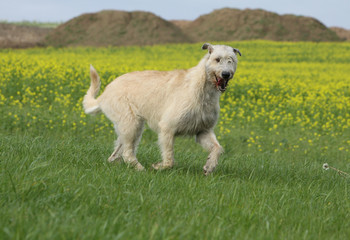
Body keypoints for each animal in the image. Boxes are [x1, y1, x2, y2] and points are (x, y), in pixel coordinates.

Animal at [83, 43, 241, 174]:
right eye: (217, 59)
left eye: (231, 60)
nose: (226, 74)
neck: (203, 89)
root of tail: (104, 94)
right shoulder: (167, 128)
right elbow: (170, 160)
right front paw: (158, 167)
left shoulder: (203, 130)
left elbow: (217, 148)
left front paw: (209, 166)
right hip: (130, 123)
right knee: (127, 153)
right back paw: (141, 169)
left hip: (131, 127)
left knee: (117, 153)